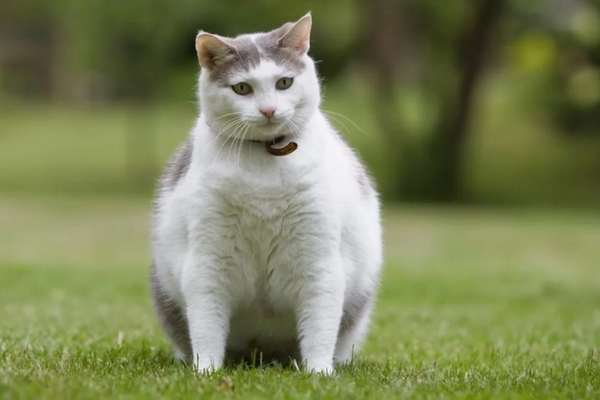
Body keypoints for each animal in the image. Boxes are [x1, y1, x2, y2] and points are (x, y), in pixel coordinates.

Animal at [152, 13, 382, 376]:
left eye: (284, 82)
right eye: (242, 88)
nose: (269, 110)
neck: (266, 158)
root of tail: (263, 353)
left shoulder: (318, 262)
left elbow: (320, 328)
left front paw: (319, 373)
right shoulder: (208, 261)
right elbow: (206, 326)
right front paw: (206, 372)